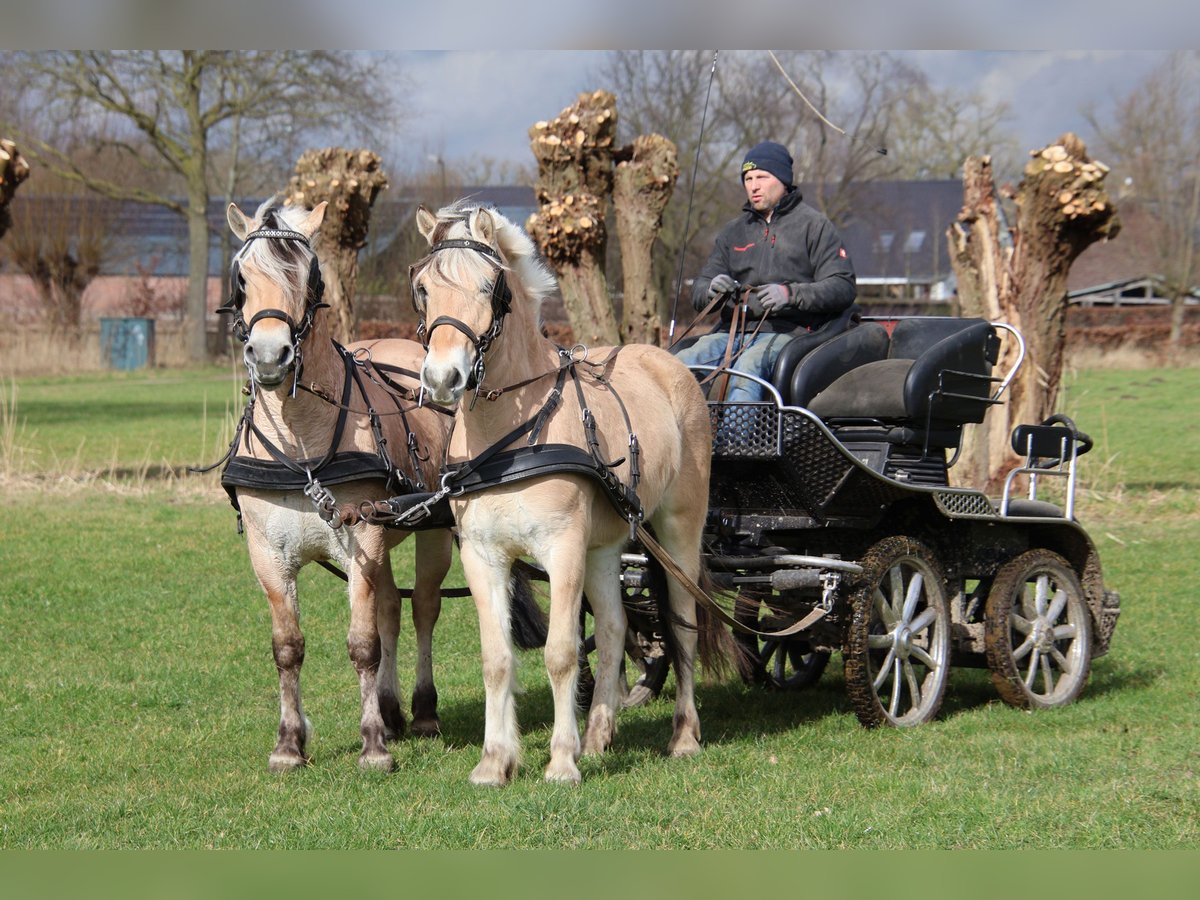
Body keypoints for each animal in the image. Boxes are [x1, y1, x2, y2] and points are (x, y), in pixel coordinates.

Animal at [412, 200, 724, 787]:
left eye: (488, 286)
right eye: (423, 288)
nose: (443, 377)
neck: (511, 439)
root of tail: (669, 362)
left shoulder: (561, 549)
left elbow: (560, 653)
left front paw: (560, 760)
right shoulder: (484, 556)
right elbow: (497, 659)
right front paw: (496, 761)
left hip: (678, 534)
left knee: (684, 626)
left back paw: (684, 737)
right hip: (603, 547)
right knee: (615, 629)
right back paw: (599, 737)